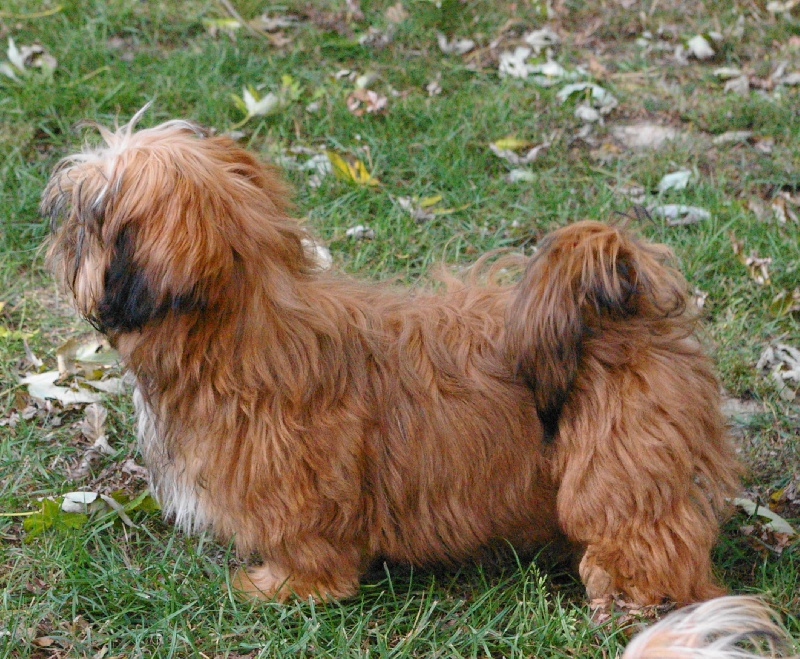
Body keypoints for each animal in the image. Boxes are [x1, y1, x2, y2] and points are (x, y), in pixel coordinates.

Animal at [42, 111, 741, 609]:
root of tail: (630, 301)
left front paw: (280, 588)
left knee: (649, 532)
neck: (245, 328)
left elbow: (311, 551)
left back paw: (634, 597)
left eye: (93, 215)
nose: (55, 213)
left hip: (618, 469)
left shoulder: (300, 492)